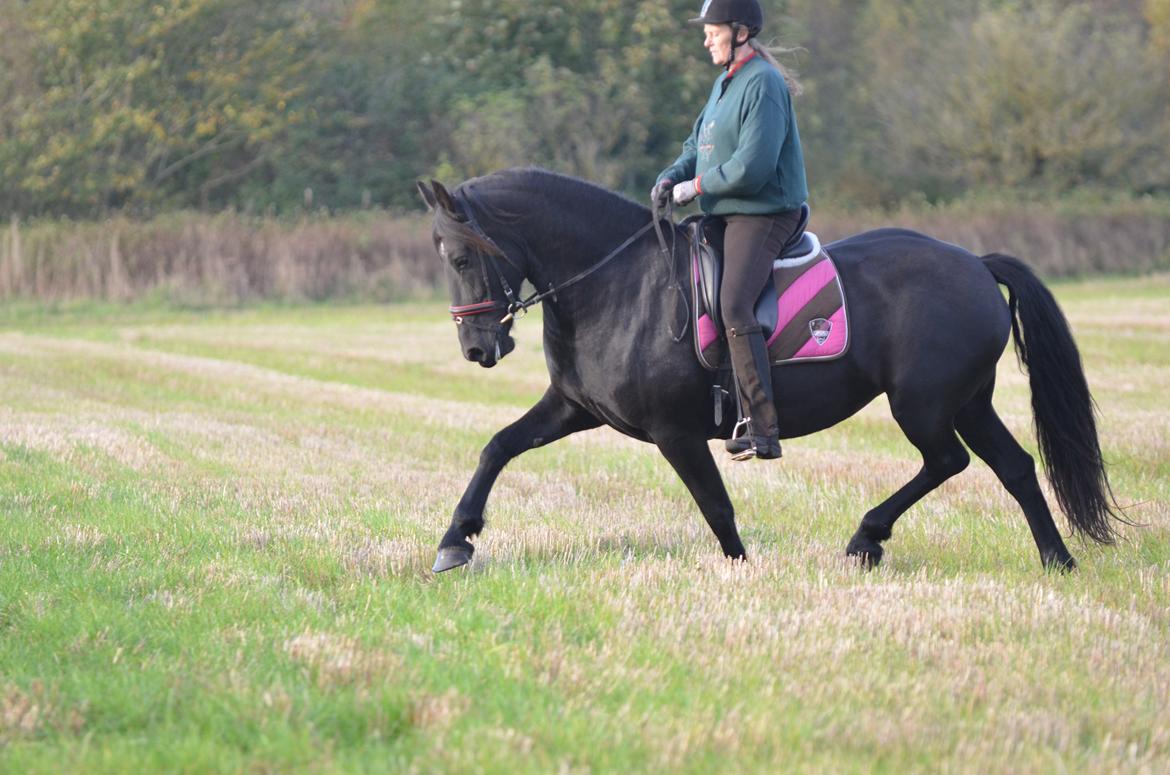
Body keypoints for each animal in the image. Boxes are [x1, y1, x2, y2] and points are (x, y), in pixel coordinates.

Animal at [416, 167, 1118, 573]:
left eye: (460, 257)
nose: (477, 349)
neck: (616, 284)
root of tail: (974, 262)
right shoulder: (574, 408)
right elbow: (498, 447)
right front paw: (457, 539)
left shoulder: (675, 432)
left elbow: (715, 505)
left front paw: (741, 569)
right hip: (968, 401)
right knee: (1014, 467)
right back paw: (1056, 561)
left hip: (922, 404)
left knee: (949, 461)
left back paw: (866, 538)